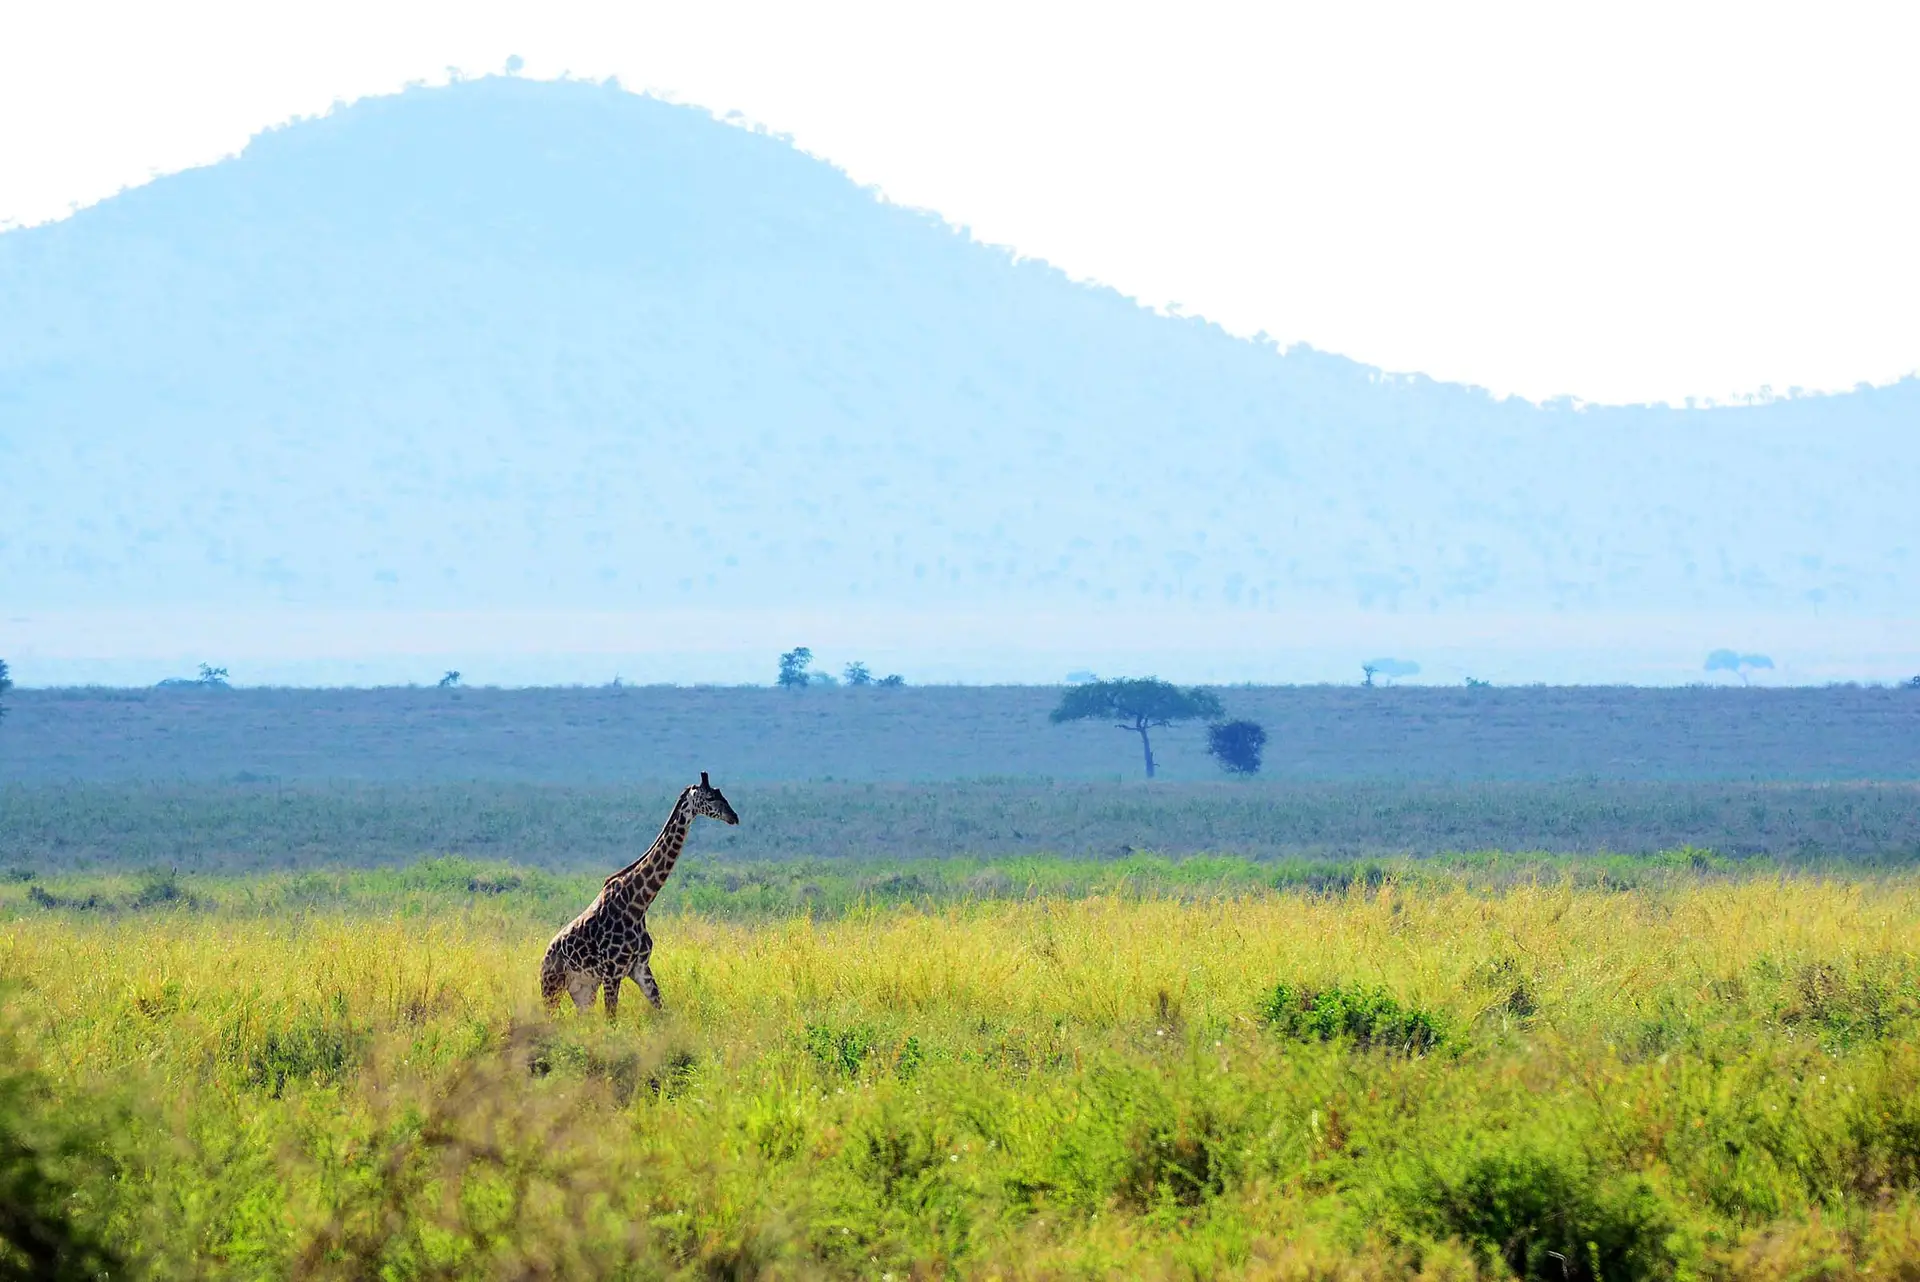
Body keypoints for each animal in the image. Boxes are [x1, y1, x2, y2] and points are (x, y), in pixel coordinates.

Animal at [549, 771, 741, 1020]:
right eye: (710, 797)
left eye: (721, 794)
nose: (734, 817)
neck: (639, 905)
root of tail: (545, 954)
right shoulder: (612, 971)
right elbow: (612, 1020)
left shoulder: (640, 968)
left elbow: (662, 1011)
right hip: (552, 985)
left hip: (583, 989)